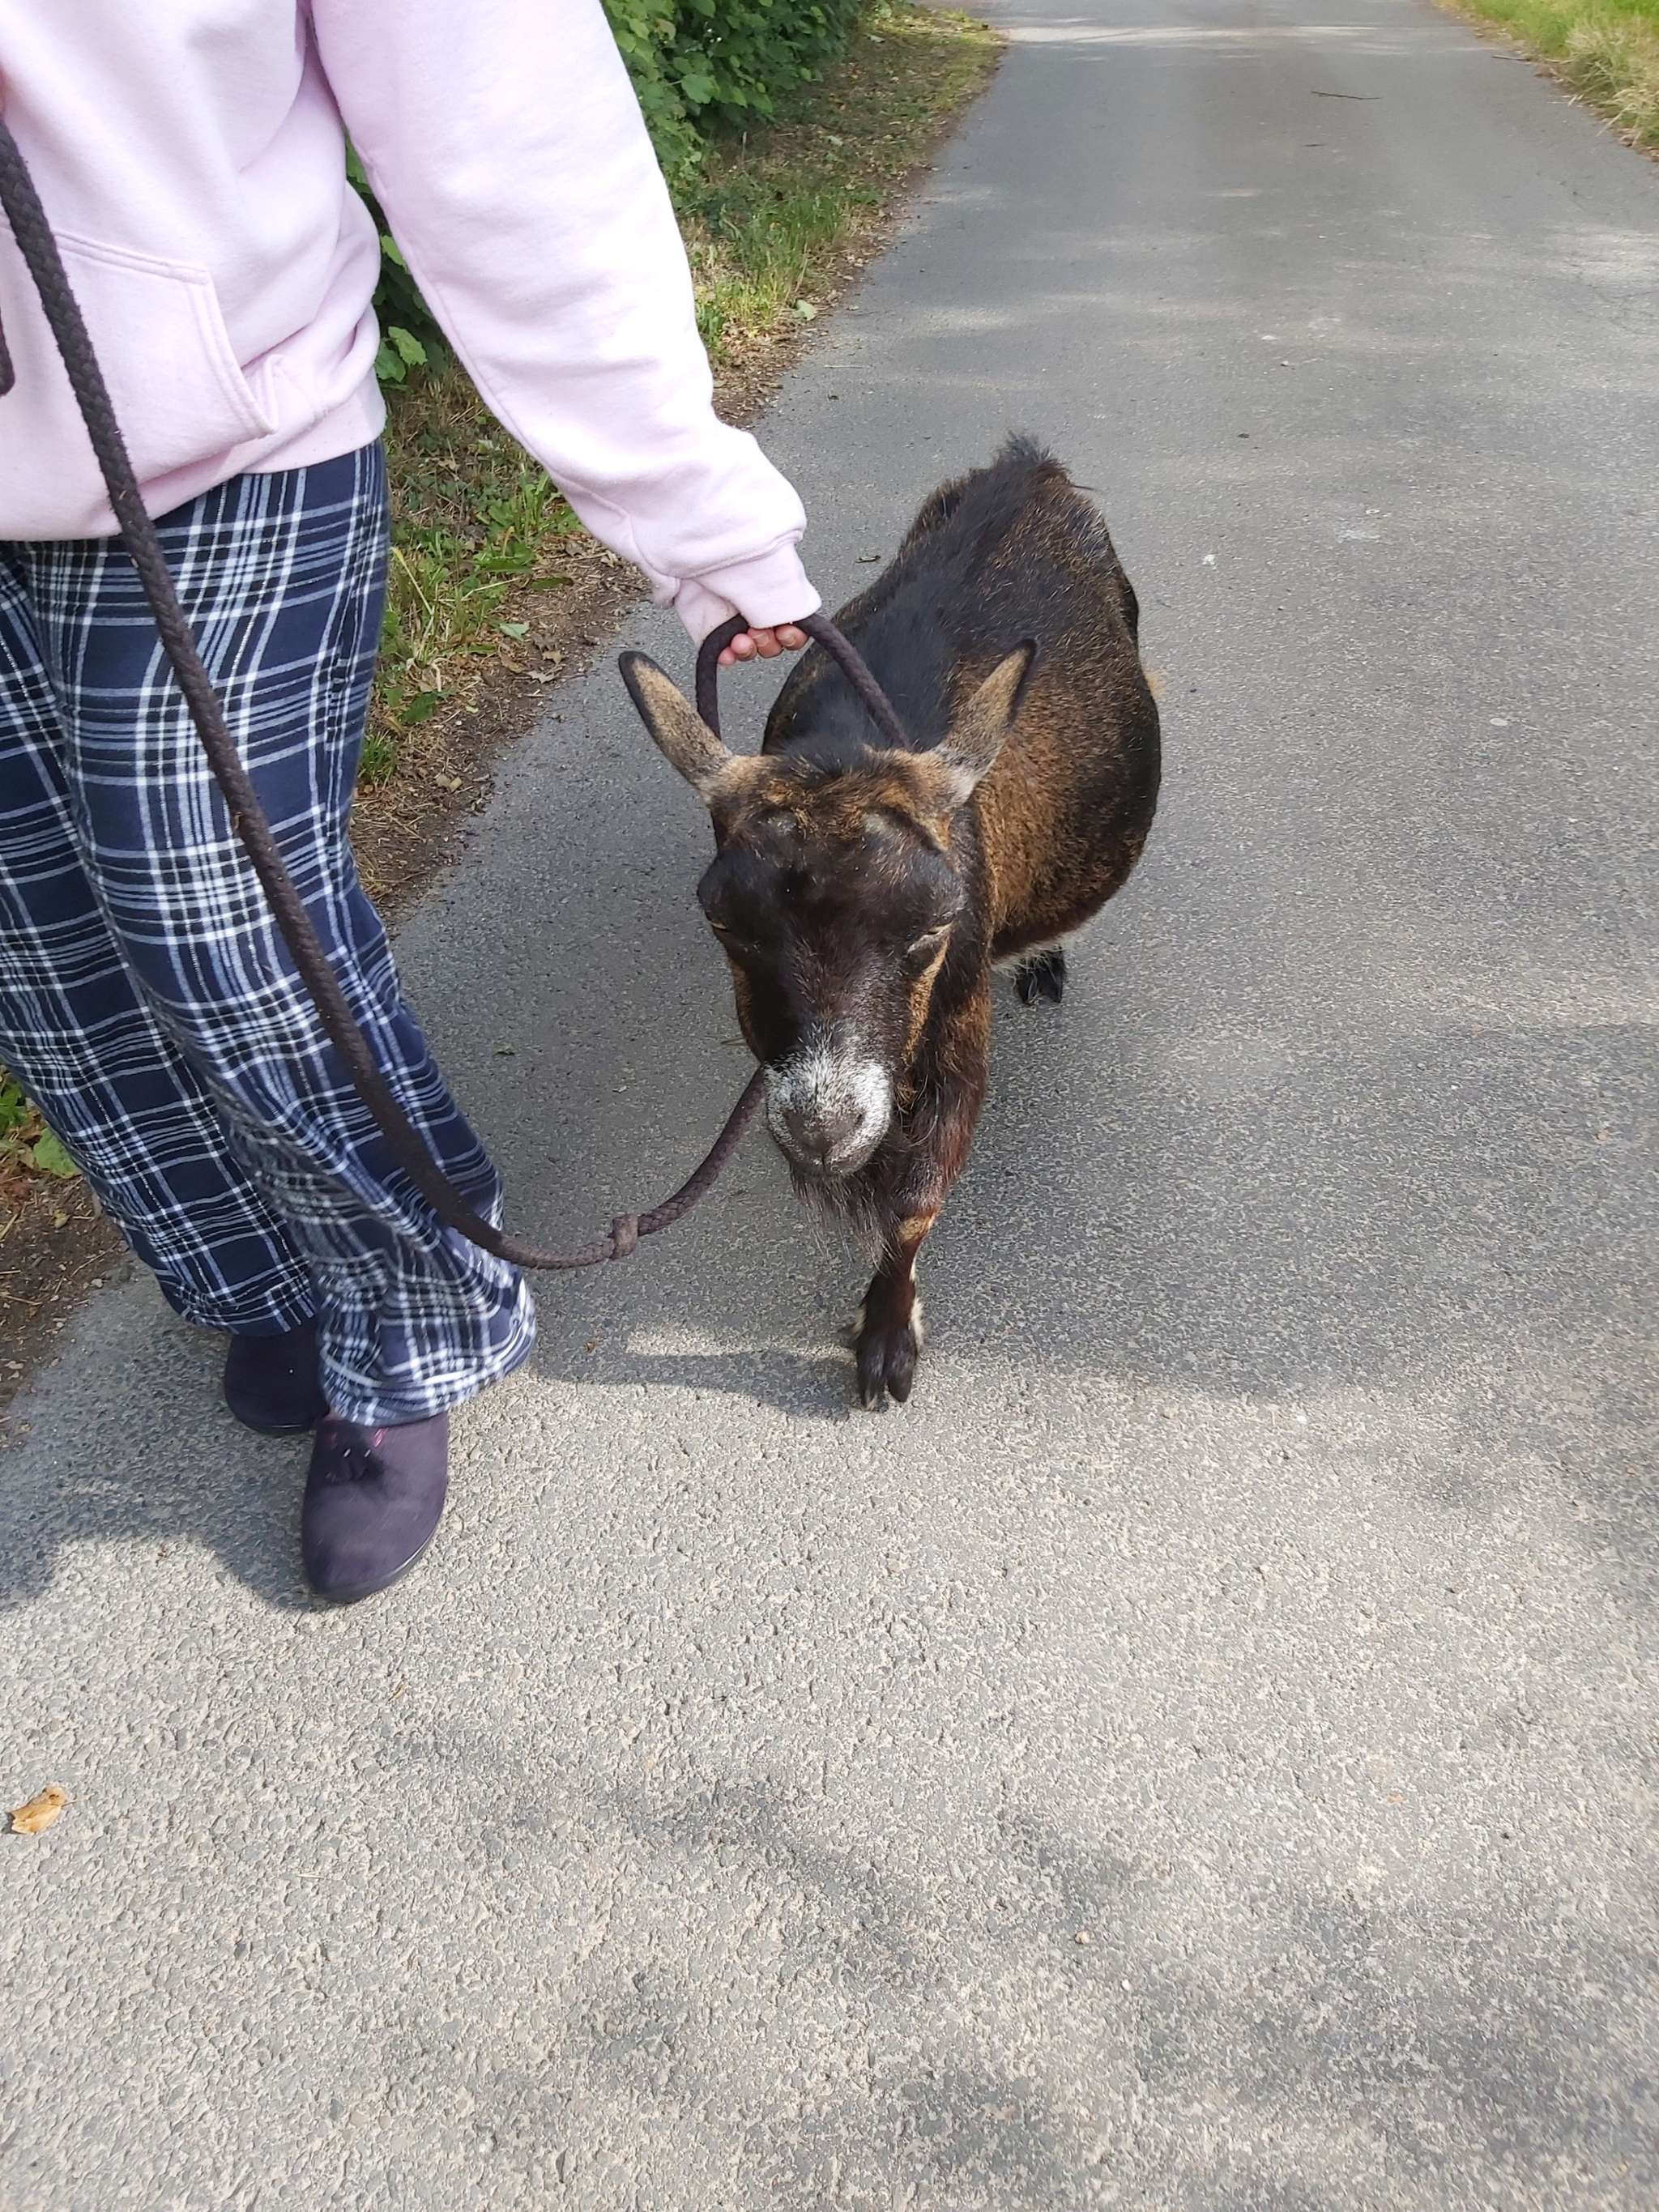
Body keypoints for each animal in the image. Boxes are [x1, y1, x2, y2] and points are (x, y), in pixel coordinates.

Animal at [620, 435, 1160, 1406]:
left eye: (931, 928)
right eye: (727, 926)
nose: (823, 1130)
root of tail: (1028, 469)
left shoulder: (956, 1018)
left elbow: (915, 1197)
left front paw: (884, 1338)